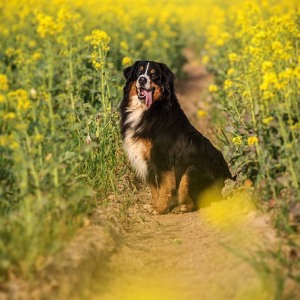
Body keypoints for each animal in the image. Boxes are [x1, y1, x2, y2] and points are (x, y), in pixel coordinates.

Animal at [119, 61, 232, 214]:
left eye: (154, 75)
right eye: (138, 72)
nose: (142, 80)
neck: (150, 109)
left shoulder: (162, 158)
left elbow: (163, 186)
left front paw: (159, 209)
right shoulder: (148, 160)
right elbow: (154, 188)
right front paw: (154, 205)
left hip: (191, 170)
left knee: (197, 202)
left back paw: (181, 207)